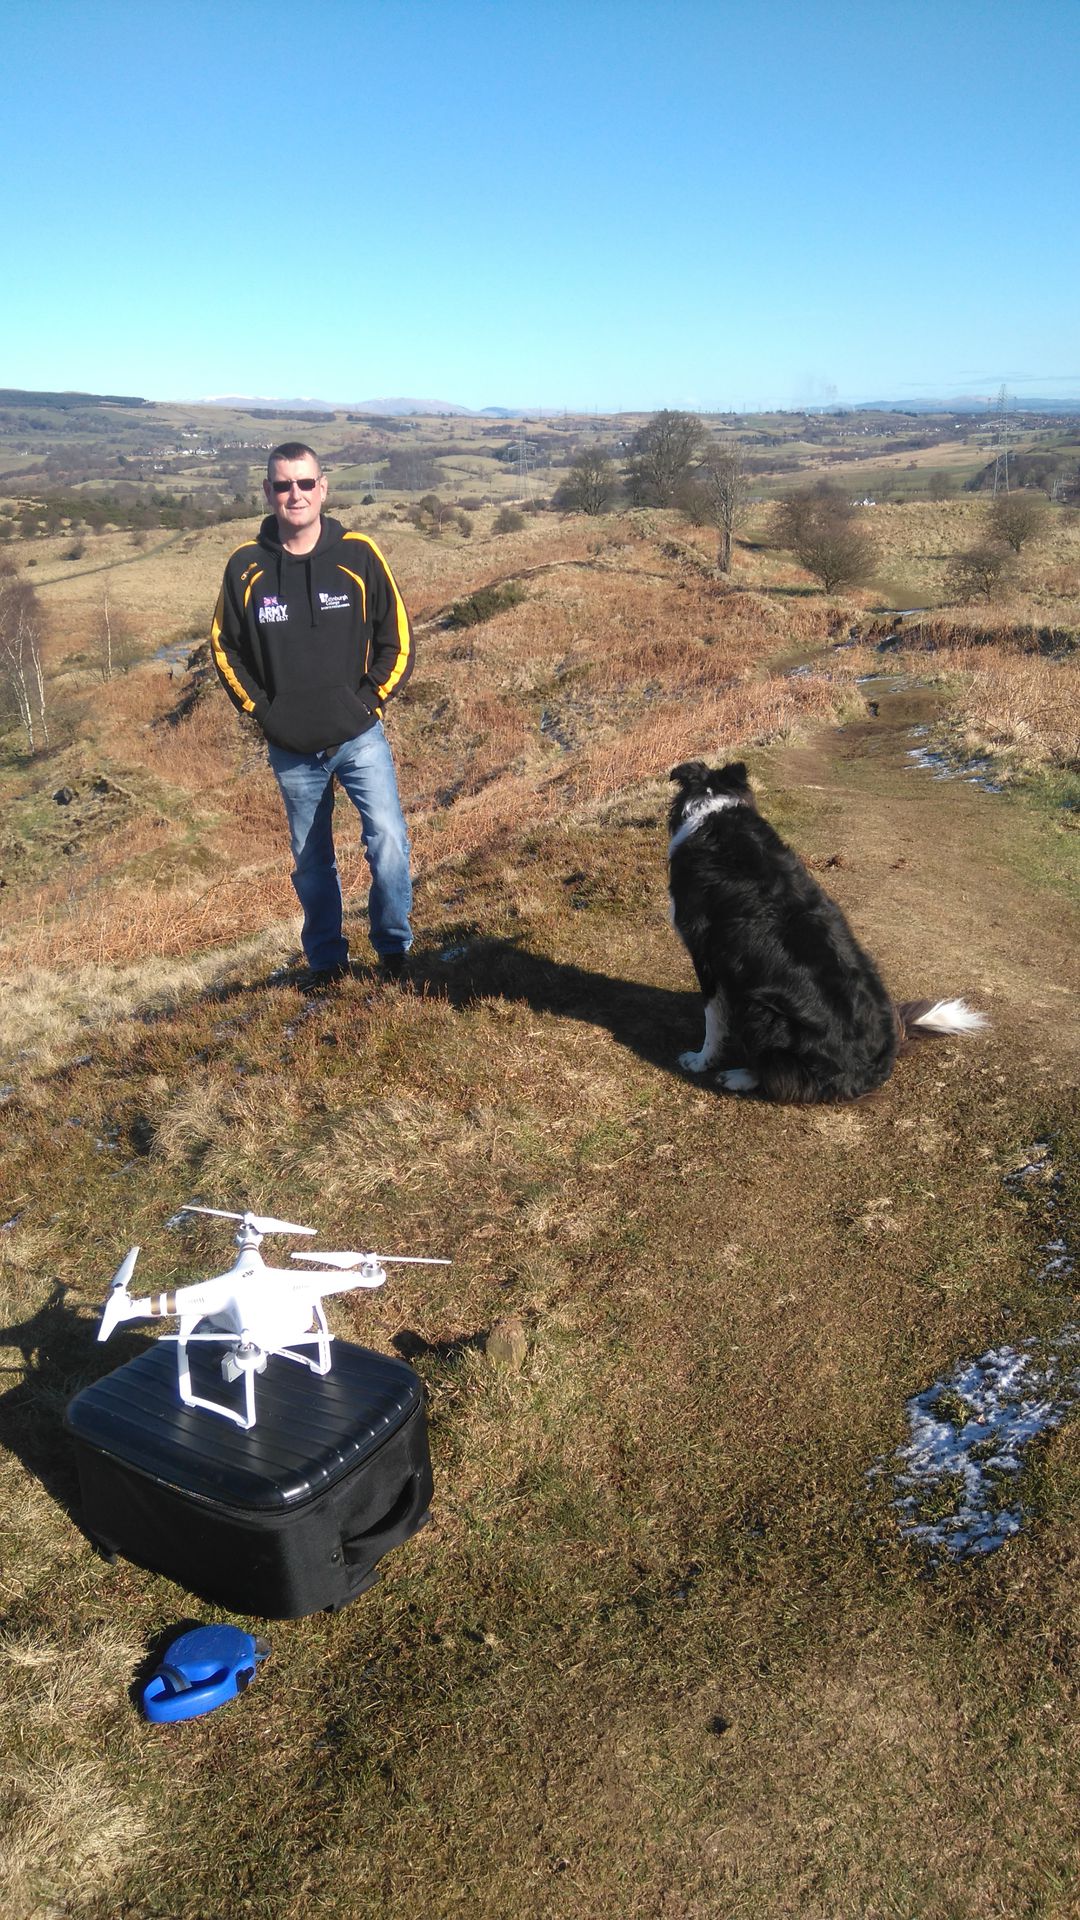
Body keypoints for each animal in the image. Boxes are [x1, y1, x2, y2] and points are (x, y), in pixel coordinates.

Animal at [667, 760, 986, 1103]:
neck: (714, 809)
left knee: (783, 1079)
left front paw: (700, 1060)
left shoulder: (705, 953)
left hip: (762, 1010)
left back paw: (740, 1076)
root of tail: (876, 1068)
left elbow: (712, 1019)